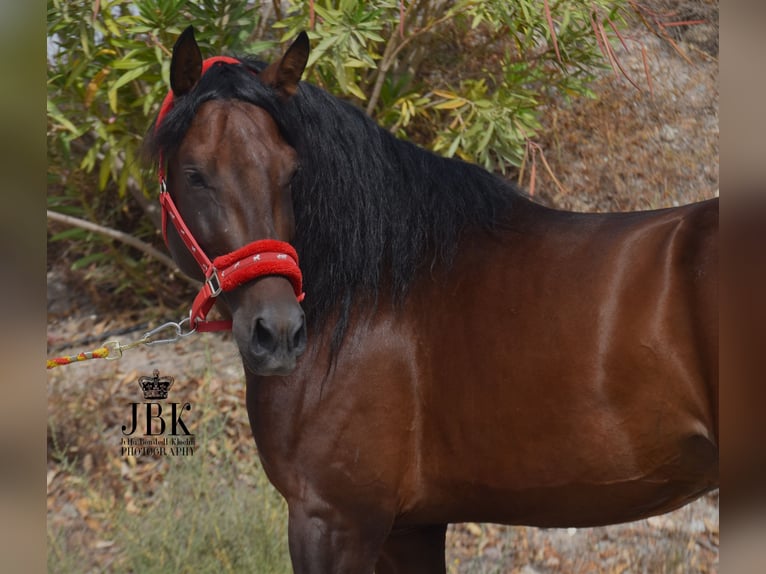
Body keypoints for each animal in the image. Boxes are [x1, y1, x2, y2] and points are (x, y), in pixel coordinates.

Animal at [144, 27, 720, 574]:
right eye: (195, 174)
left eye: (291, 172)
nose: (279, 333)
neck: (367, 298)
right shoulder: (410, 527)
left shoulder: (333, 519)